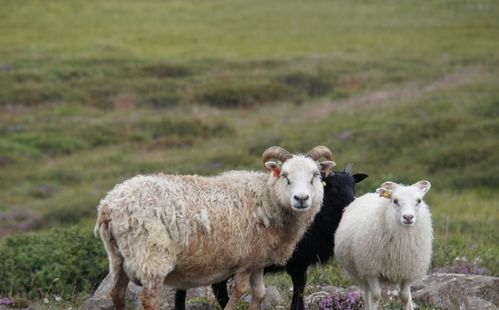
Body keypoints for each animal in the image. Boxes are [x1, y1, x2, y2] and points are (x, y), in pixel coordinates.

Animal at [94, 146, 336, 310]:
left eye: (315, 175)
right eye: (285, 176)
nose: (301, 199)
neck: (267, 198)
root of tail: (109, 204)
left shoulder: (258, 259)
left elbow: (259, 293)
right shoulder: (245, 260)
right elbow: (240, 291)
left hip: (117, 258)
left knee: (116, 294)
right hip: (152, 256)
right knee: (148, 298)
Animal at [175, 163, 368, 308]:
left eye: (353, 185)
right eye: (332, 186)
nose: (353, 203)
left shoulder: (301, 261)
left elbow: (300, 287)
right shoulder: (296, 262)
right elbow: (299, 287)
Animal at [334, 180, 436, 308]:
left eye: (419, 201)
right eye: (395, 201)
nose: (408, 217)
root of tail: (371, 193)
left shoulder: (408, 271)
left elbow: (405, 297)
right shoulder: (371, 270)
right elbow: (376, 296)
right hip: (361, 271)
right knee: (367, 292)